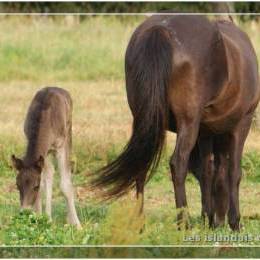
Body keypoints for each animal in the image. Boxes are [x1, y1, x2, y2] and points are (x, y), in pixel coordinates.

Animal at [11, 87, 80, 228]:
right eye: (17, 185)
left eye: (35, 186)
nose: (24, 212)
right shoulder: (42, 152)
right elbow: (45, 180)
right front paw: (39, 218)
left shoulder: (59, 146)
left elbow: (64, 185)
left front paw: (77, 225)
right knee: (49, 173)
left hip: (68, 133)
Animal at [91, 14, 258, 230]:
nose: (218, 221)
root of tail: (161, 29)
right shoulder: (242, 123)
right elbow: (233, 172)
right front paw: (235, 222)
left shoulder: (205, 132)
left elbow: (207, 171)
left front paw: (207, 217)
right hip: (188, 122)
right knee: (178, 163)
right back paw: (183, 223)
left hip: (146, 121)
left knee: (141, 165)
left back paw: (140, 223)